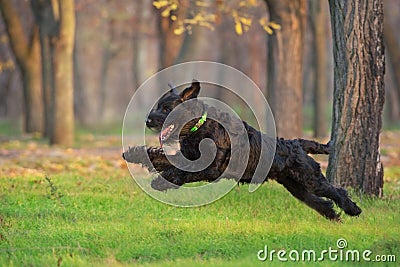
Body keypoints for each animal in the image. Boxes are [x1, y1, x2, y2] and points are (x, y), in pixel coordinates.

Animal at [122, 80, 362, 221]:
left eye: (166, 108)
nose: (147, 120)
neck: (199, 126)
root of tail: (296, 143)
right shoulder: (188, 156)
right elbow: (159, 157)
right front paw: (132, 154)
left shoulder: (211, 168)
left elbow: (183, 172)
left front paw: (162, 182)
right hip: (296, 187)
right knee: (320, 201)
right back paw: (333, 215)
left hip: (310, 178)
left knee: (336, 191)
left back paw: (352, 210)